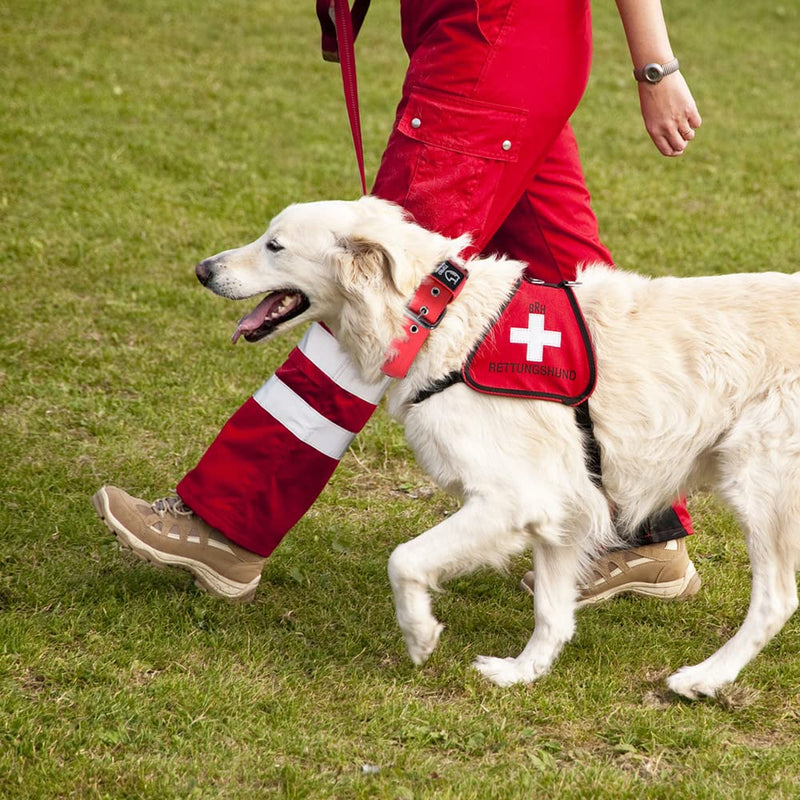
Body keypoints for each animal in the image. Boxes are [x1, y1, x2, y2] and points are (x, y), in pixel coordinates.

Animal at [194, 197, 800, 696]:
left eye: (274, 246)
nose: (202, 270)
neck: (436, 318)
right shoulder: (563, 505)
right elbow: (552, 611)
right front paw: (523, 673)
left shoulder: (513, 497)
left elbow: (404, 559)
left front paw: (420, 634)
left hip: (759, 488)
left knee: (776, 600)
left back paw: (705, 678)